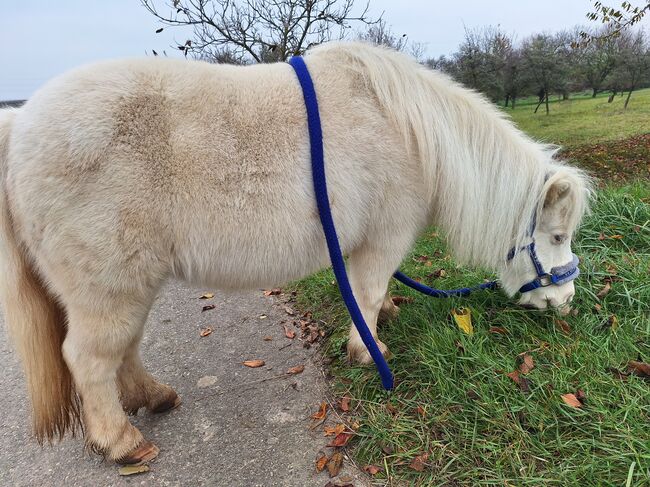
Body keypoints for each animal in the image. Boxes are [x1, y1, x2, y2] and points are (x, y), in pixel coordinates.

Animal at [0, 43, 588, 466]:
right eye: (558, 237)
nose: (566, 302)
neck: (412, 132)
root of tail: (20, 126)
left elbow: (373, 291)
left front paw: (386, 316)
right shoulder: (384, 235)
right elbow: (367, 291)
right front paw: (367, 349)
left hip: (131, 283)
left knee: (123, 350)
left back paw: (154, 396)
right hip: (108, 285)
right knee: (89, 358)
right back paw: (122, 442)